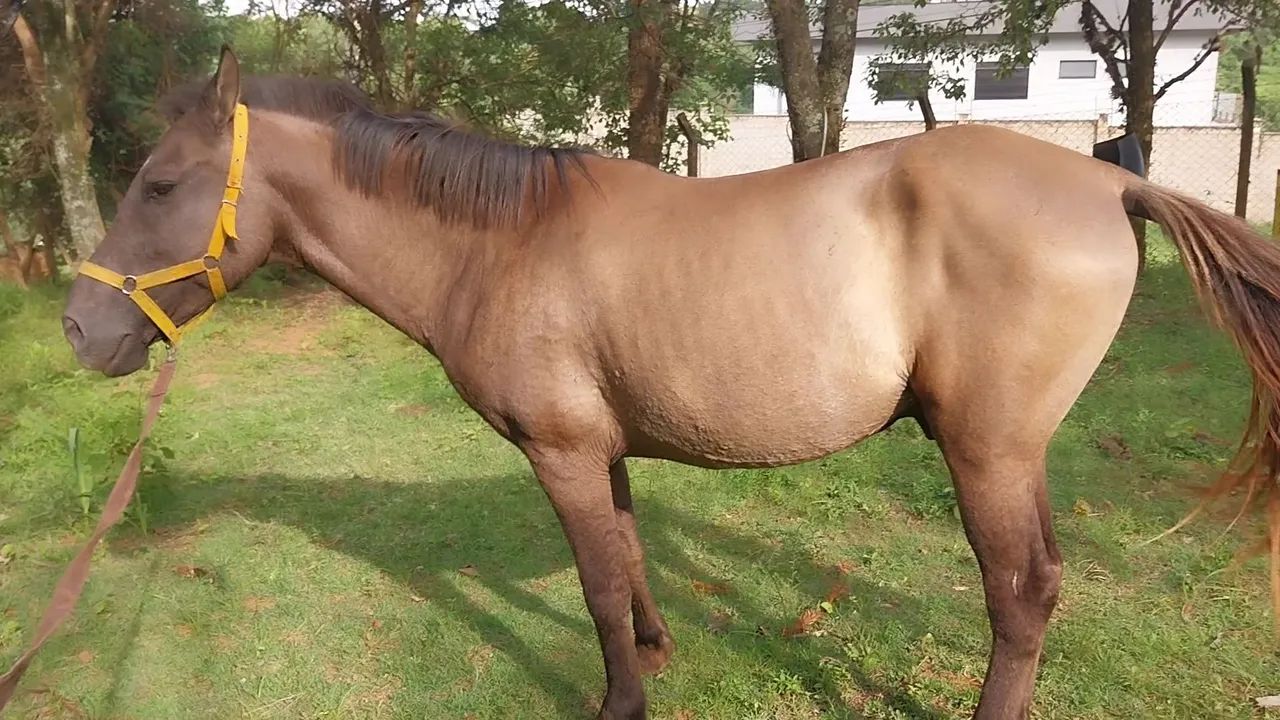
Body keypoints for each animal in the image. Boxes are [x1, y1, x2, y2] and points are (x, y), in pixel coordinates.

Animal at [60, 47, 1280, 720]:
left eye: (160, 184)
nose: (80, 329)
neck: (501, 244)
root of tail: (1105, 182)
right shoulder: (599, 447)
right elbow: (632, 556)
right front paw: (654, 654)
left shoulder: (557, 453)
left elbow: (595, 582)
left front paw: (619, 697)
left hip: (987, 450)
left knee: (1019, 594)